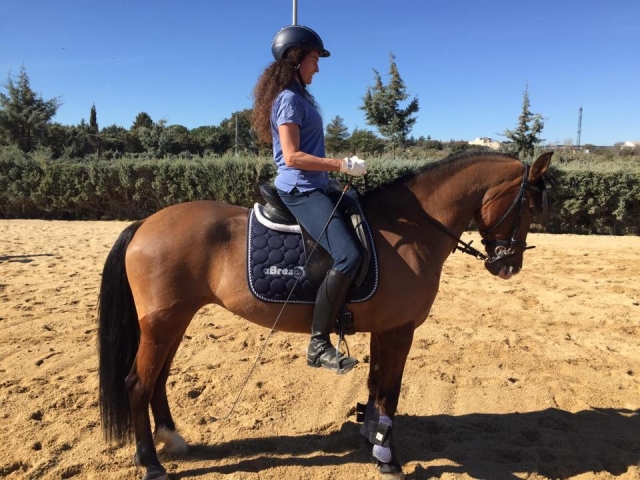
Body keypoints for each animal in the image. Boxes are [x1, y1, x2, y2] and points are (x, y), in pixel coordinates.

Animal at [97, 150, 553, 479]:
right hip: (162, 324)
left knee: (159, 380)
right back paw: (151, 463)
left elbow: (375, 384)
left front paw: (370, 436)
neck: (411, 229)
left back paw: (171, 439)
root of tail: (145, 224)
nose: (508, 266)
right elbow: (390, 391)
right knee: (138, 383)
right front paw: (386, 456)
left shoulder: (384, 330)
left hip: (175, 322)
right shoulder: (399, 331)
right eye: (530, 205)